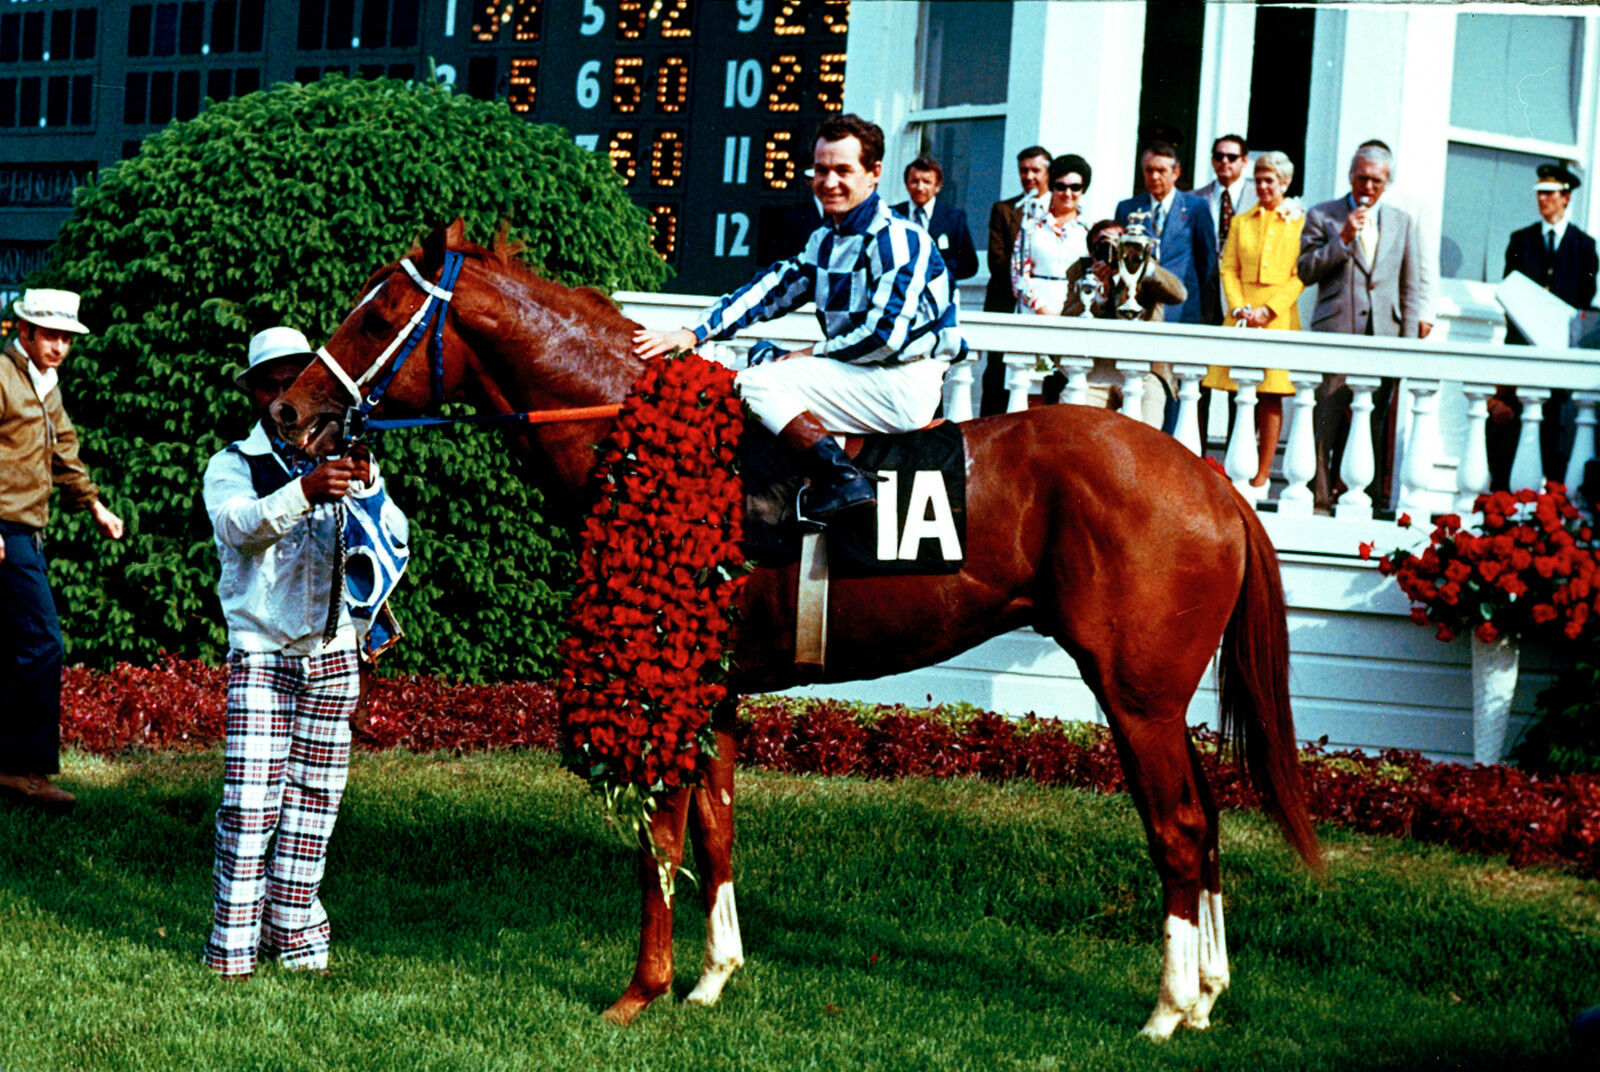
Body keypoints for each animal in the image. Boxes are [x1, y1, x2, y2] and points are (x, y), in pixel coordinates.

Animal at [275, 224, 1318, 1043]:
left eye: (376, 315)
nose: (286, 409)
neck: (638, 443)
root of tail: (1215, 482)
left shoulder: (667, 677)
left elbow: (660, 833)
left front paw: (639, 993)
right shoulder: (721, 688)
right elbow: (717, 828)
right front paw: (710, 981)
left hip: (1135, 692)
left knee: (1179, 828)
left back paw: (1167, 1008)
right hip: (1159, 697)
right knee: (1206, 818)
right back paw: (1209, 994)